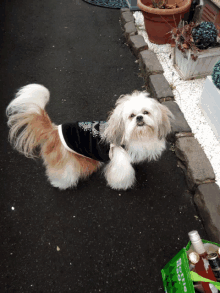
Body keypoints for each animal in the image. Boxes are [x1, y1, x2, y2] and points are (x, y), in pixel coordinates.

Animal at [6, 83, 174, 190]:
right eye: (131, 115)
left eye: (146, 112)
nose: (139, 118)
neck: (137, 135)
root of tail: (54, 130)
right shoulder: (119, 157)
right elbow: (121, 173)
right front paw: (121, 185)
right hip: (65, 160)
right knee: (63, 171)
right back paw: (60, 183)